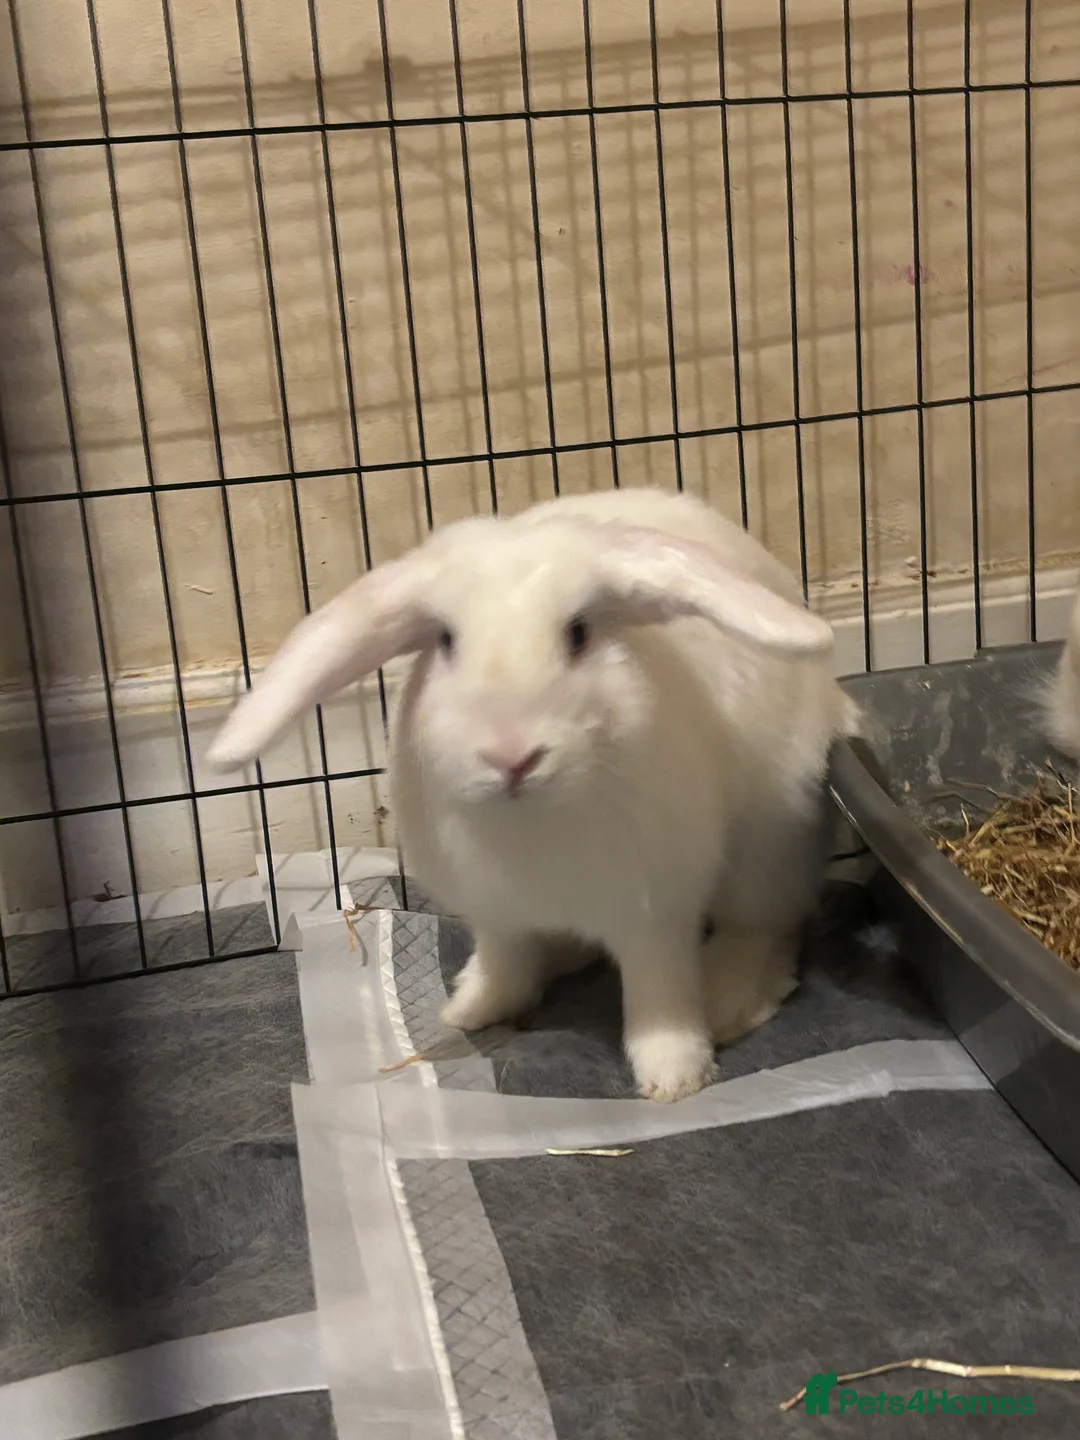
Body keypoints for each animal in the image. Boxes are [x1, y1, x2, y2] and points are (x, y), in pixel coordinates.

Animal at [208, 486, 858, 1102]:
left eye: (578, 634)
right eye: (446, 641)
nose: (512, 757)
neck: (532, 821)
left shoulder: (655, 916)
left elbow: (660, 999)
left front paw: (675, 1078)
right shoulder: (499, 915)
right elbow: (506, 963)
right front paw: (472, 1010)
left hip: (768, 850)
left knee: (767, 930)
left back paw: (726, 1000)